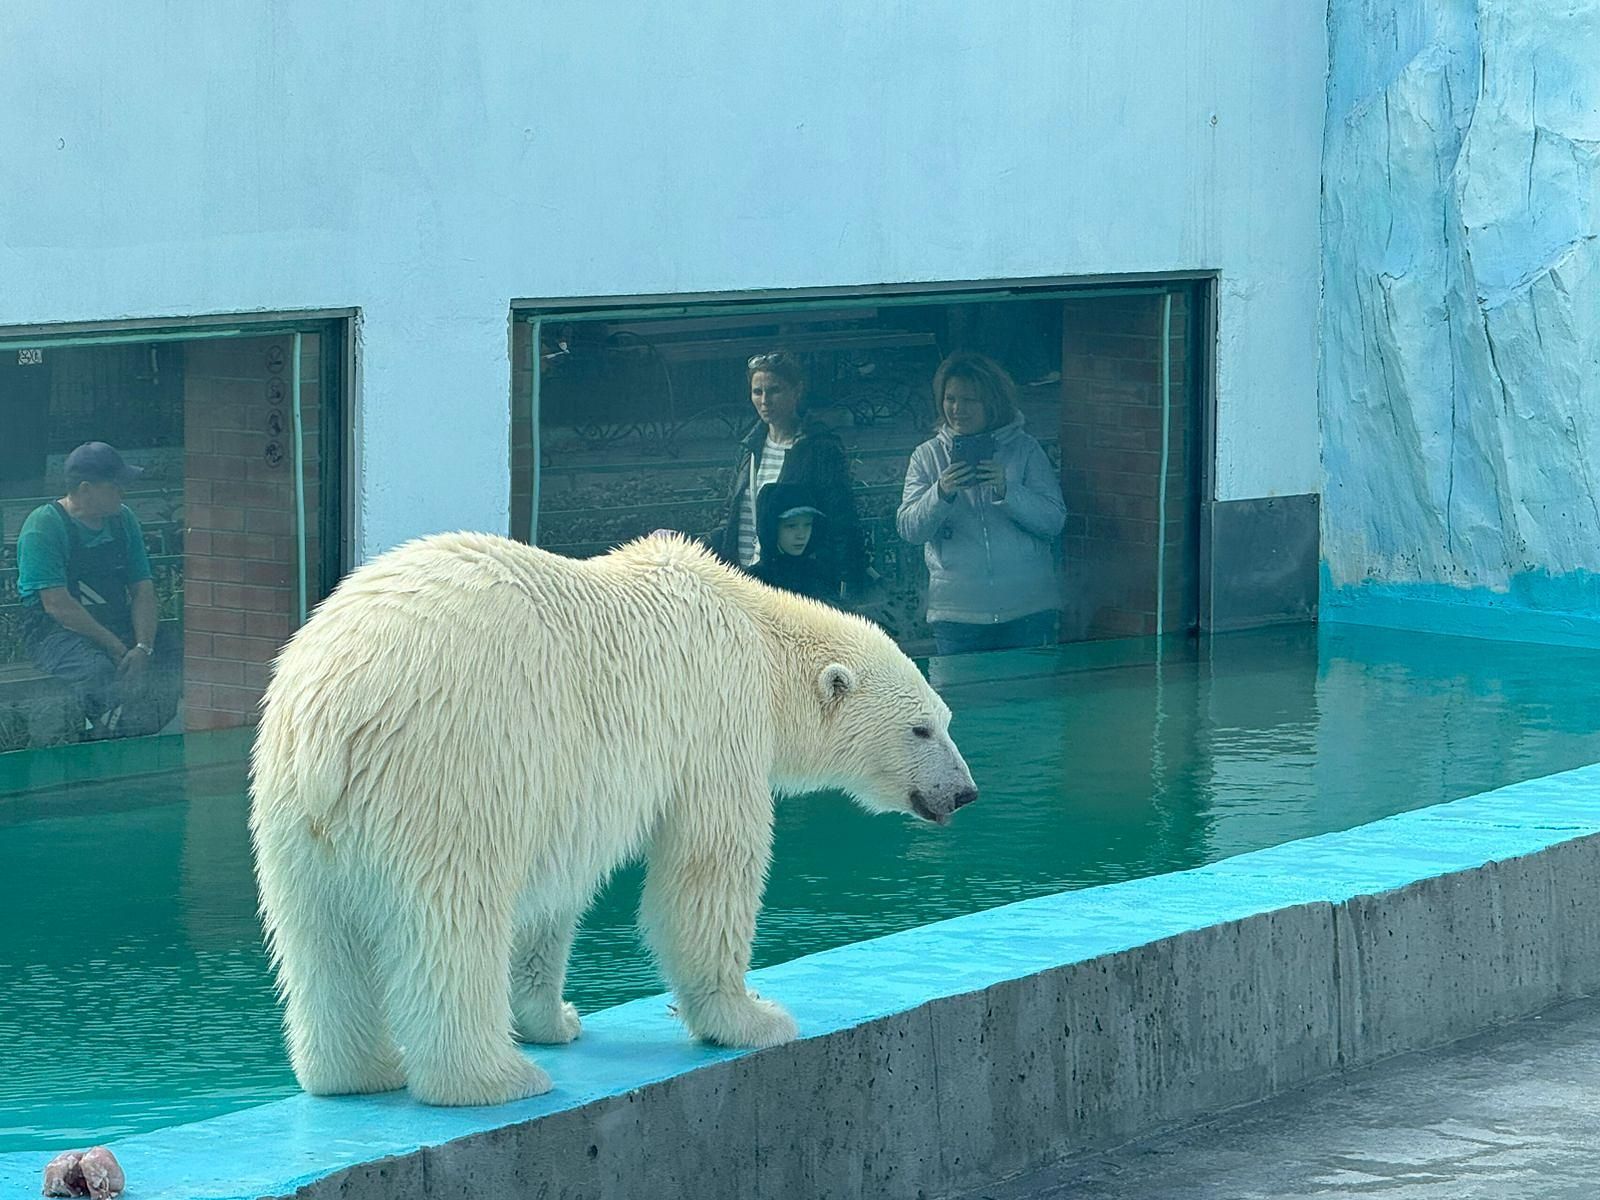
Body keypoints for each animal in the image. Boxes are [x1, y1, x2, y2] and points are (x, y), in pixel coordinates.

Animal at [249, 534, 972, 1107]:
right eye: (920, 728)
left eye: (945, 719)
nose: (964, 792)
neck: (750, 626)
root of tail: (331, 714)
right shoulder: (714, 723)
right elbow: (709, 867)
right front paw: (751, 1018)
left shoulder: (563, 792)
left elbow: (550, 896)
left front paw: (555, 1018)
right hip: (450, 773)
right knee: (453, 920)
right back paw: (492, 1079)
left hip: (290, 812)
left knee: (318, 937)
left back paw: (357, 1073)